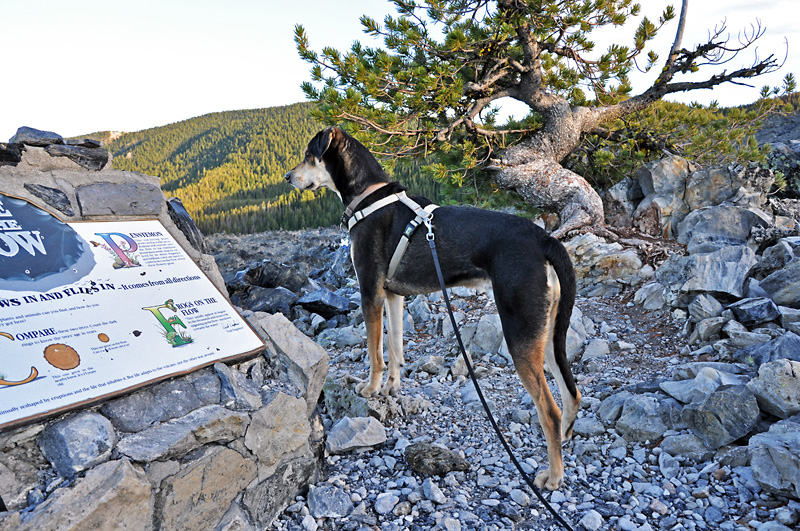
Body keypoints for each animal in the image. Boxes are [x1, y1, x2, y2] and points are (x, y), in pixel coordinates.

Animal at [288, 125, 580, 490]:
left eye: (309, 155)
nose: (287, 177)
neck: (368, 196)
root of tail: (545, 239)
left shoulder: (370, 292)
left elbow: (375, 352)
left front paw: (371, 388)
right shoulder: (393, 295)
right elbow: (395, 348)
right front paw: (393, 386)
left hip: (521, 333)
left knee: (549, 410)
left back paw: (553, 476)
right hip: (549, 333)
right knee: (571, 394)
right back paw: (565, 441)